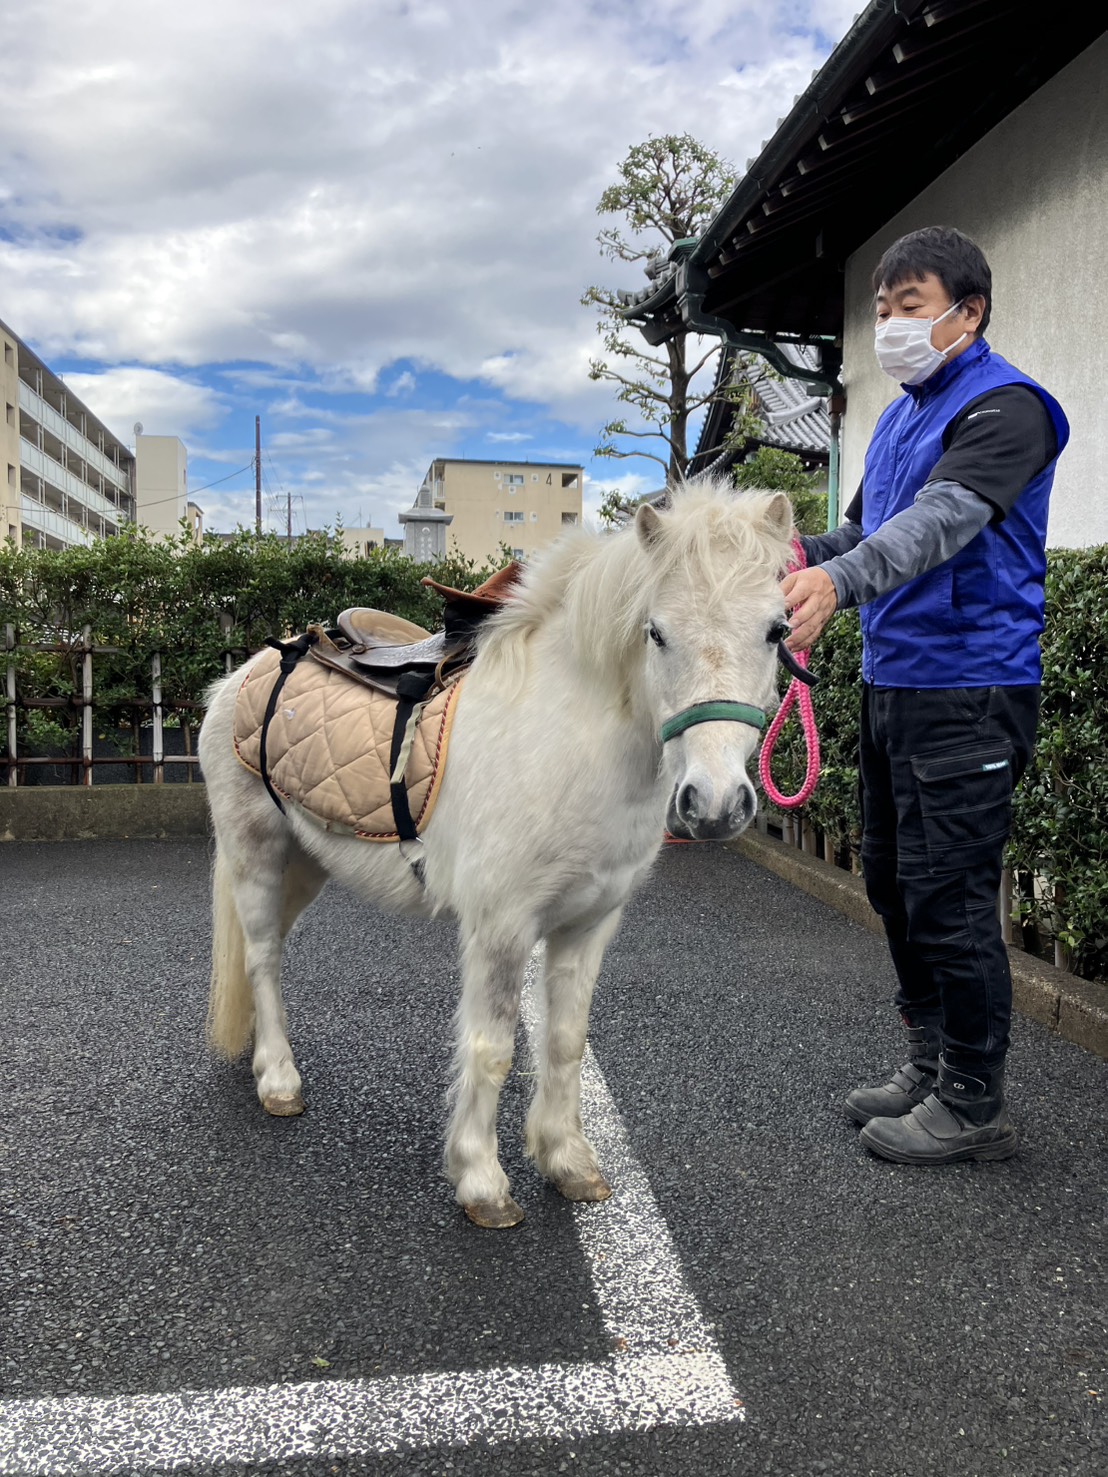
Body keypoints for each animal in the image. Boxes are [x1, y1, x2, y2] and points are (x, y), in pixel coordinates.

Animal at [197, 481, 796, 1228]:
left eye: (776, 630)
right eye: (656, 632)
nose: (714, 804)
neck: (569, 740)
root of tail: (243, 674)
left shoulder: (587, 924)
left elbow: (565, 1041)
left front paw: (567, 1161)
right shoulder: (502, 926)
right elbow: (493, 1048)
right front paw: (482, 1181)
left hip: (306, 863)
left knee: (269, 950)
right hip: (256, 851)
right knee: (262, 957)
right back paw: (278, 1077)